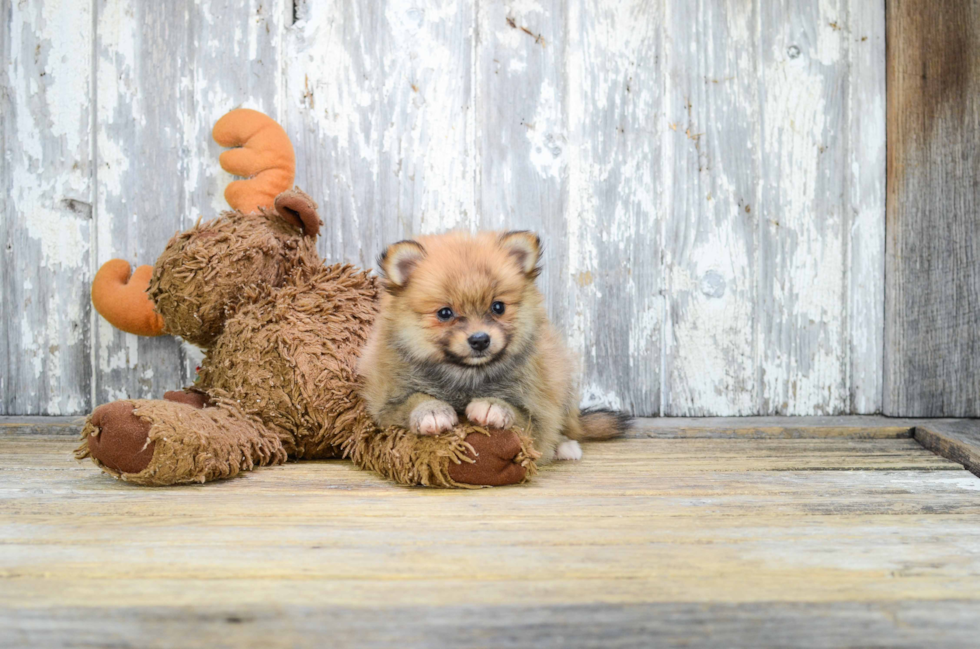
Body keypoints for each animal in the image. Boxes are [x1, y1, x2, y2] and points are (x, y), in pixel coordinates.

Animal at [358, 230, 628, 464]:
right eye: (445, 313)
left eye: (498, 307)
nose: (480, 339)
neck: (466, 374)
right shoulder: (385, 406)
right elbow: (412, 400)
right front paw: (432, 411)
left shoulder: (538, 413)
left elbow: (520, 415)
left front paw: (492, 406)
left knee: (567, 426)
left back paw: (565, 446)